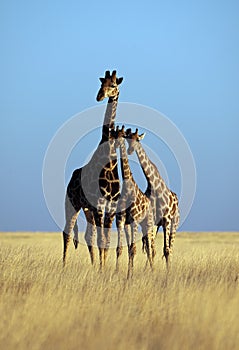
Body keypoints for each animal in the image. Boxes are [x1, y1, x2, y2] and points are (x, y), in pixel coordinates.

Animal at [61, 70, 123, 268]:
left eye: (113, 85)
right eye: (102, 83)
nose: (99, 96)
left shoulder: (110, 207)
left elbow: (105, 239)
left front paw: (103, 268)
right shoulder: (99, 205)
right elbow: (101, 239)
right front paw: (103, 270)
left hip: (87, 209)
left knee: (89, 235)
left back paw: (94, 265)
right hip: (72, 203)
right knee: (67, 231)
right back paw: (64, 266)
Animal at [113, 126, 156, 278]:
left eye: (121, 136)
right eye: (114, 134)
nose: (115, 144)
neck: (127, 187)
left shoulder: (135, 220)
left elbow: (134, 249)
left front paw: (129, 276)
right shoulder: (121, 220)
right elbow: (120, 248)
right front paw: (117, 273)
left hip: (147, 224)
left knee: (150, 248)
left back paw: (152, 271)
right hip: (134, 225)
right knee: (140, 248)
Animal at [125, 129, 179, 268]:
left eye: (138, 139)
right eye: (127, 139)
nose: (130, 150)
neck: (153, 186)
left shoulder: (166, 220)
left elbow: (166, 250)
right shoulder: (150, 221)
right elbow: (151, 249)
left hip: (174, 222)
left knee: (170, 248)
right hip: (155, 225)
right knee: (153, 248)